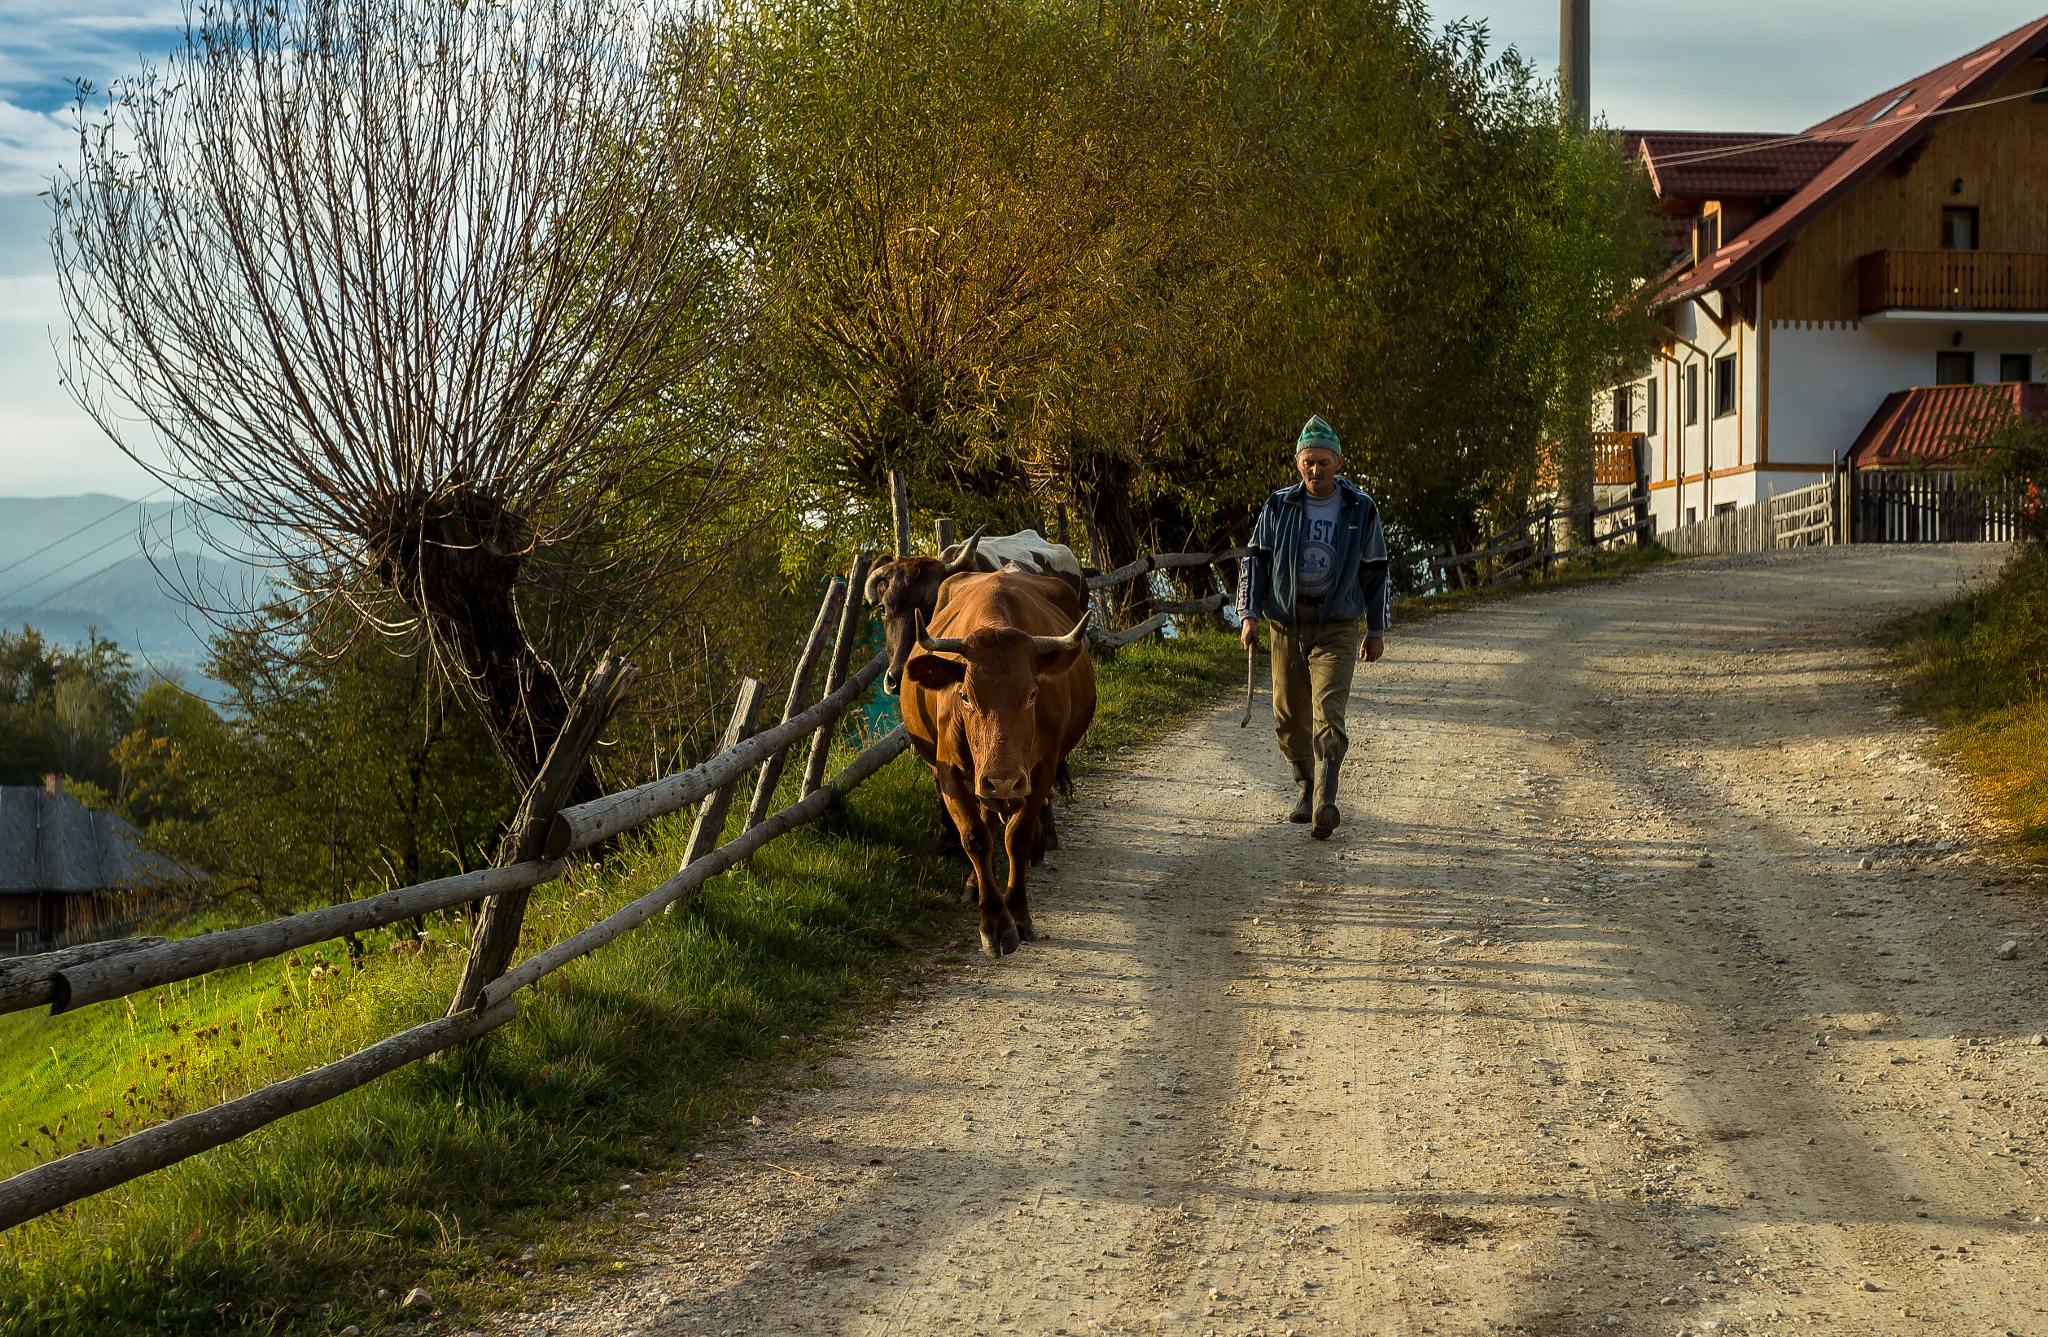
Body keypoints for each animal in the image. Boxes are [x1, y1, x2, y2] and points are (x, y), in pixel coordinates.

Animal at [897, 569, 1089, 954]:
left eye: (1032, 694)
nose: (1002, 780)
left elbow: (1017, 836)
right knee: (985, 820)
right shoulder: (948, 772)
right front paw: (994, 923)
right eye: (965, 696)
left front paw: (1018, 915)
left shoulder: (1041, 771)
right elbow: (975, 837)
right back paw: (974, 884)